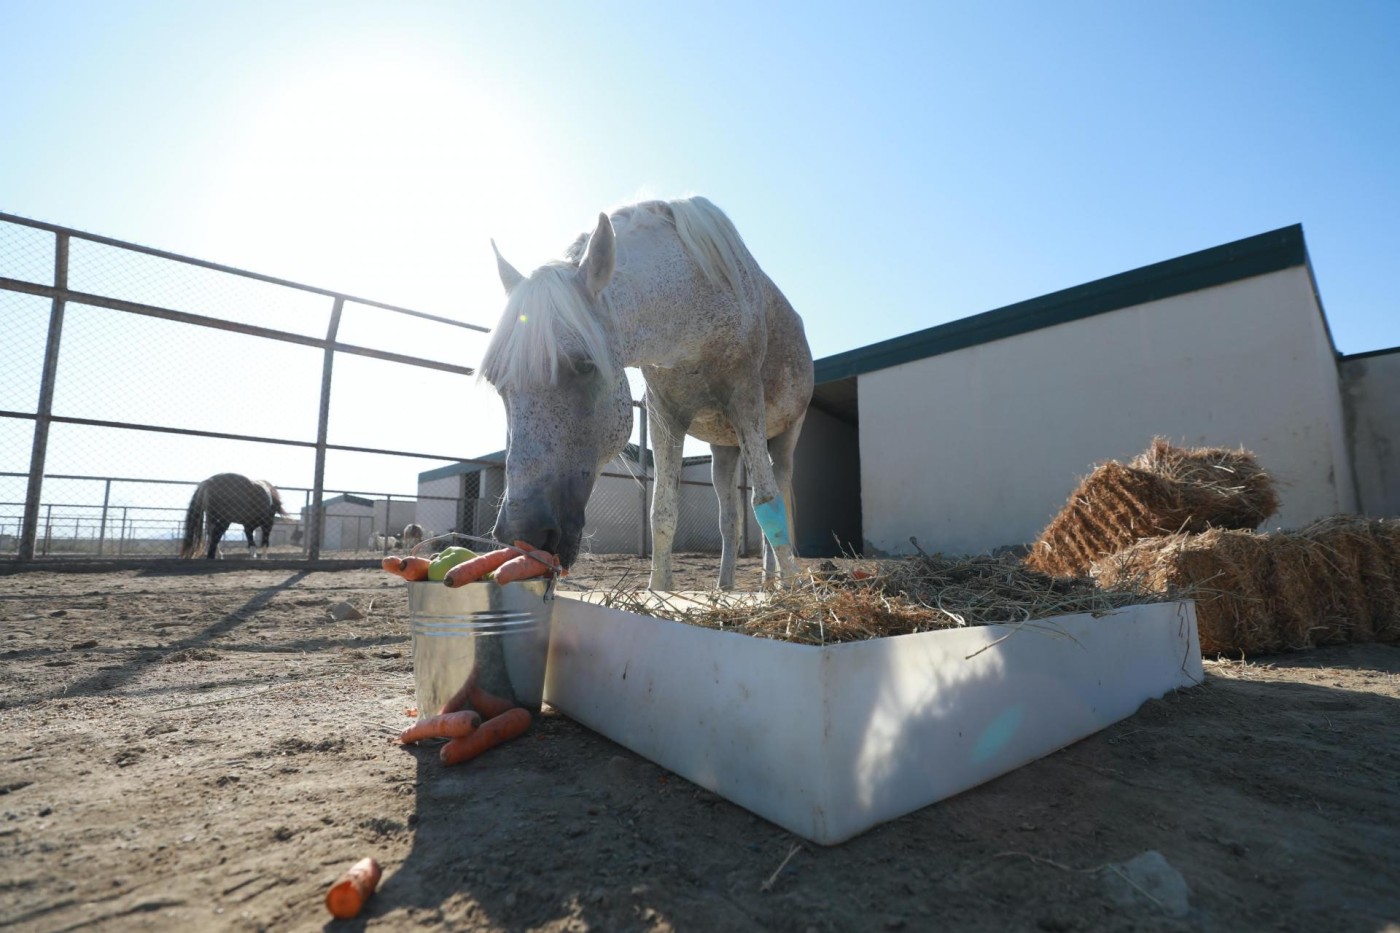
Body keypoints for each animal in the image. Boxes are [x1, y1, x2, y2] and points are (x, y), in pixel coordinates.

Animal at [481, 196, 817, 588]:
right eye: (495, 381)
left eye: (584, 366)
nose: (522, 533)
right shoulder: (666, 414)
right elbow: (663, 512)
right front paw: (659, 589)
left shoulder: (745, 398)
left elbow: (767, 502)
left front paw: (792, 591)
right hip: (724, 450)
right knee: (729, 520)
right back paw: (726, 585)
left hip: (781, 438)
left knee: (776, 499)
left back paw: (776, 583)